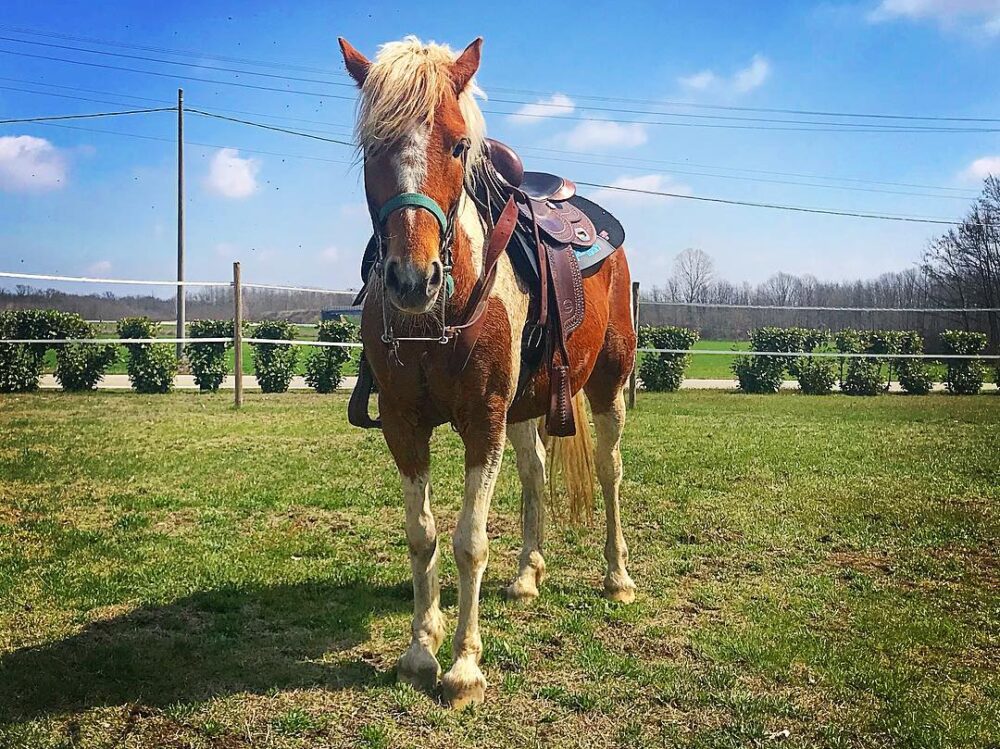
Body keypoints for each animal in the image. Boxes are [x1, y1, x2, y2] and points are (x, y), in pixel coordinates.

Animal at [340, 35, 636, 708]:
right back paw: (527, 575)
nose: (411, 279)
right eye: (372, 146)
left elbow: (468, 540)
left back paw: (617, 576)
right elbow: (422, 534)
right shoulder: (403, 424)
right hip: (526, 407)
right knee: (535, 475)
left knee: (609, 473)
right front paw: (420, 650)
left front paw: (463, 668)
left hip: (606, 384)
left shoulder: (482, 421)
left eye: (456, 144)